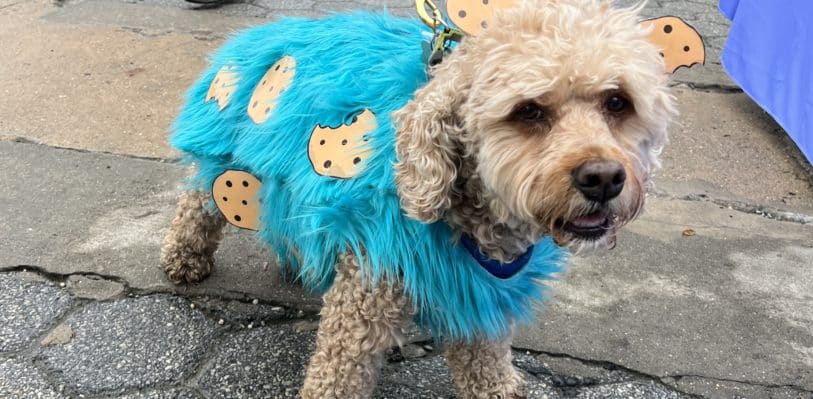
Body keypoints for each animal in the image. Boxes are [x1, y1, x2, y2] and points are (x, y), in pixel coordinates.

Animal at [159, 0, 672, 396]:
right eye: (528, 111)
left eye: (617, 102)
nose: (603, 178)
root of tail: (263, 31)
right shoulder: (368, 287)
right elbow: (339, 372)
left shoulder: (477, 289)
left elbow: (484, 354)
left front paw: (497, 386)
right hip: (231, 151)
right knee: (198, 200)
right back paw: (185, 256)